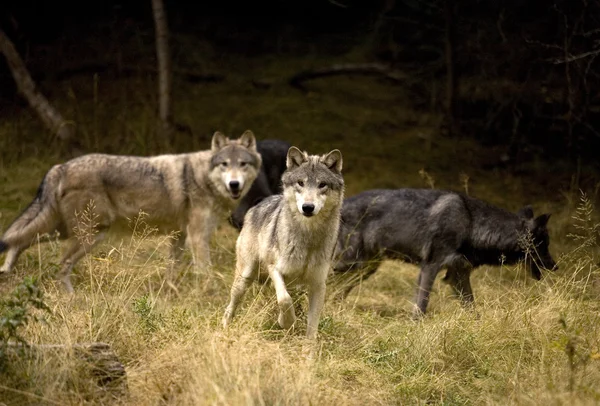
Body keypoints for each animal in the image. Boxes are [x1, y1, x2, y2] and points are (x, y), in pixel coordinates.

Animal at [0, 130, 262, 292]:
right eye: (224, 165)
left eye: (243, 164)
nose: (234, 184)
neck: (201, 177)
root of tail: (60, 166)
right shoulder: (197, 237)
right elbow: (205, 270)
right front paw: (208, 294)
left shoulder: (178, 235)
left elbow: (171, 270)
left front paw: (172, 293)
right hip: (88, 235)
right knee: (59, 264)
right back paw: (71, 298)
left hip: (65, 231)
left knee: (20, 241)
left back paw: (6, 271)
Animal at [221, 146, 344, 340]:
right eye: (301, 183)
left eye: (322, 184)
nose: (308, 207)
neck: (308, 238)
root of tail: (260, 202)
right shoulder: (274, 268)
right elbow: (284, 299)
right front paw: (287, 322)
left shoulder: (318, 285)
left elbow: (312, 328)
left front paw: (308, 349)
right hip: (244, 278)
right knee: (231, 307)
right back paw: (224, 329)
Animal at [332, 188, 556, 318]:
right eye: (543, 245)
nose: (556, 265)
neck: (472, 224)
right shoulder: (430, 267)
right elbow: (421, 306)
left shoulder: (457, 276)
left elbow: (473, 310)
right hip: (350, 264)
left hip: (365, 269)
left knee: (338, 292)